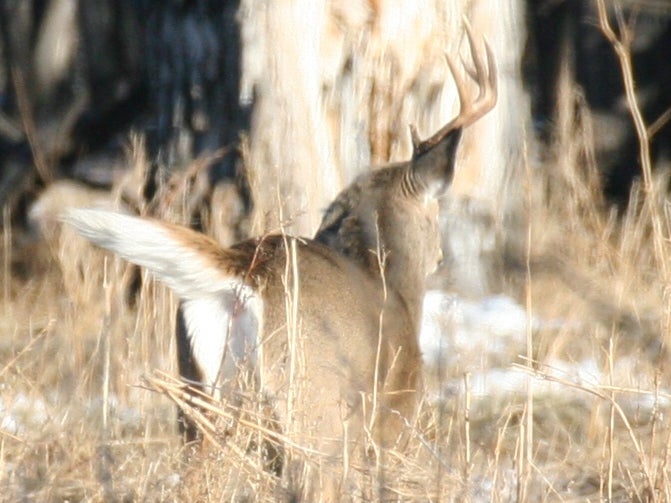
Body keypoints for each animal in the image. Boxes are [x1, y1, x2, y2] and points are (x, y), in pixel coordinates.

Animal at [63, 26, 496, 500]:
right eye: (436, 213)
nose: (439, 254)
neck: (392, 284)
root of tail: (244, 268)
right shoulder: (394, 413)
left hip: (197, 395)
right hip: (313, 404)